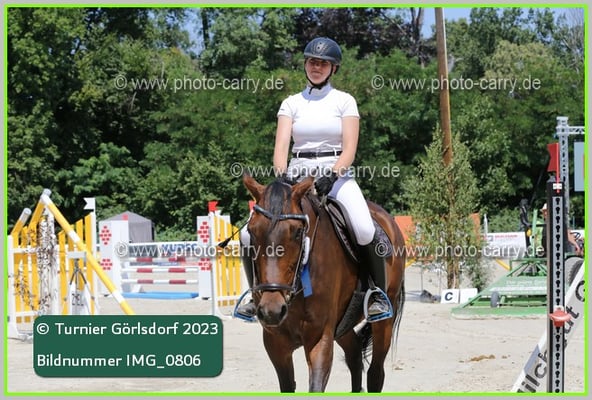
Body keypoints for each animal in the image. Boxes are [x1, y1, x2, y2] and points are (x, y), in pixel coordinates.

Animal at [242, 174, 405, 392]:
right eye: (252, 232)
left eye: (297, 232)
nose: (272, 310)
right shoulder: (275, 342)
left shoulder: (320, 338)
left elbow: (316, 386)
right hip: (343, 324)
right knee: (354, 357)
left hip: (384, 321)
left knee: (376, 374)